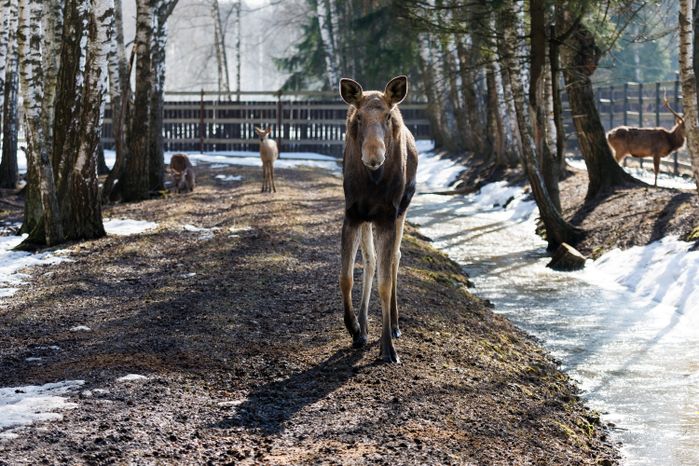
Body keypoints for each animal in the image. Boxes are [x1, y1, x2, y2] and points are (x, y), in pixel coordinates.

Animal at [339, 75, 418, 364]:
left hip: (402, 211)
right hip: (368, 220)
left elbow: (385, 283)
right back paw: (363, 327)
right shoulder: (352, 215)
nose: (374, 157)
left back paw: (394, 325)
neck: (373, 182)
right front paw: (354, 327)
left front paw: (387, 347)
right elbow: (346, 276)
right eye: (359, 116)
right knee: (371, 262)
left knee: (395, 259)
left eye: (387, 116)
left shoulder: (387, 216)